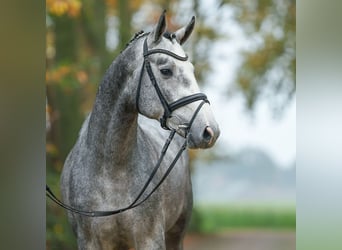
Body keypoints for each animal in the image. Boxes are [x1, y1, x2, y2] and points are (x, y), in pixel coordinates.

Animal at [60, 12, 220, 250]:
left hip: (176, 234)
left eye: (192, 71)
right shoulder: (89, 242)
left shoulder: (150, 240)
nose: (210, 130)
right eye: (166, 71)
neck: (110, 170)